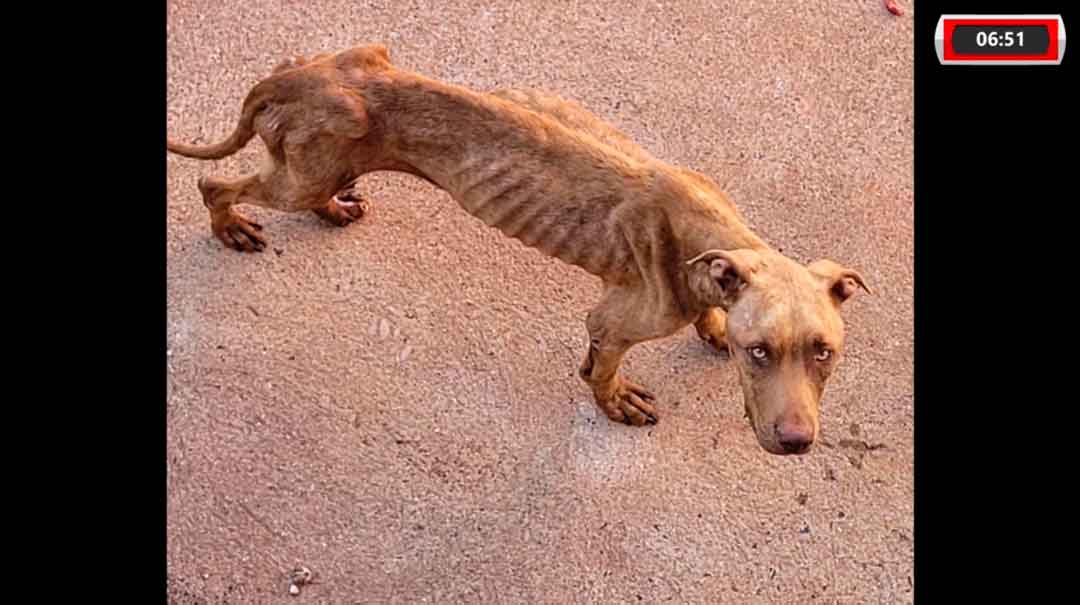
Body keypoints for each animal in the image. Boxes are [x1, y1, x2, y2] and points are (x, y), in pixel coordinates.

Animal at [166, 44, 868, 455]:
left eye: (824, 352)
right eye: (760, 353)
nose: (797, 443)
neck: (710, 239)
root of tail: (291, 77)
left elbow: (710, 311)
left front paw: (712, 324)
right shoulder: (612, 321)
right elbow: (602, 369)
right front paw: (615, 400)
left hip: (327, 154)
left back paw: (330, 209)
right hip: (298, 174)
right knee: (215, 184)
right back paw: (229, 224)